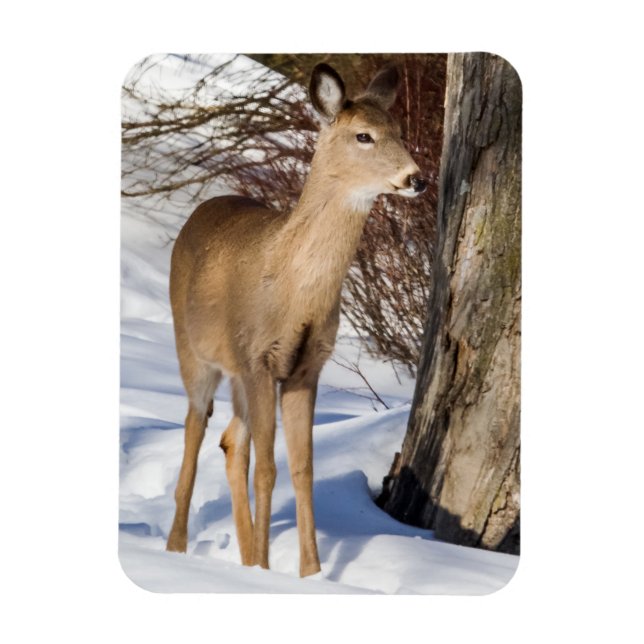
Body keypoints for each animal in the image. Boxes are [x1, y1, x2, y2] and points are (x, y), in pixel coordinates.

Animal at [165, 61, 427, 577]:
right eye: (364, 136)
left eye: (400, 131)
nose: (416, 178)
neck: (294, 292)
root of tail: (202, 207)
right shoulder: (259, 357)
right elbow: (268, 469)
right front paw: (270, 573)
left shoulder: (306, 366)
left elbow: (303, 470)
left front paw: (310, 574)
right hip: (195, 352)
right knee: (195, 427)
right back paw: (176, 548)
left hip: (238, 376)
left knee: (231, 441)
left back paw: (245, 556)